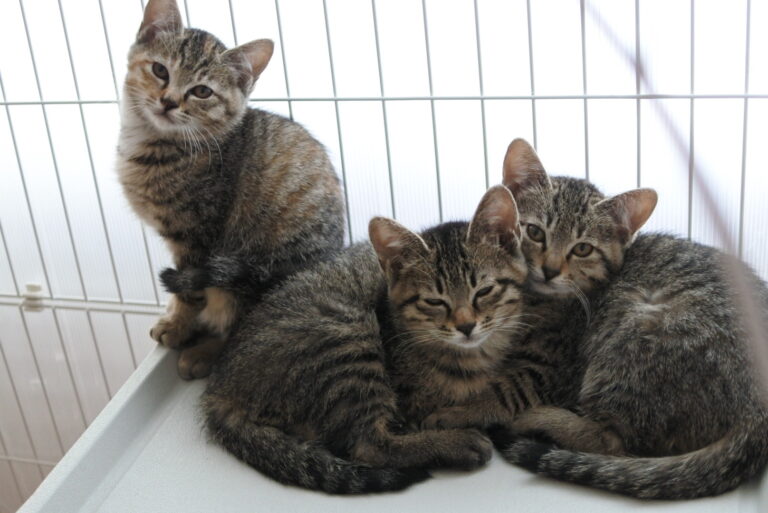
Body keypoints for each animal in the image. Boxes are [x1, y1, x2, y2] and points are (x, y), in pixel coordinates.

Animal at [117, 0, 345, 379]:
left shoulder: (196, 235)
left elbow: (189, 292)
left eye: (202, 91)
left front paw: (177, 325)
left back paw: (203, 354)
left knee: (246, 330)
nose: (169, 101)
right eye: (160, 70)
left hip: (244, 272)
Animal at [200, 185, 525, 494]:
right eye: (434, 301)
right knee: (369, 445)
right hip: (346, 339)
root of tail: (220, 387)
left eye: (484, 291)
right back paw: (456, 445)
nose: (466, 326)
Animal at [495, 138, 768, 499]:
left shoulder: (553, 369)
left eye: (582, 249)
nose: (550, 270)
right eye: (535, 232)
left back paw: (539, 420)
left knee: (613, 442)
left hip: (634, 334)